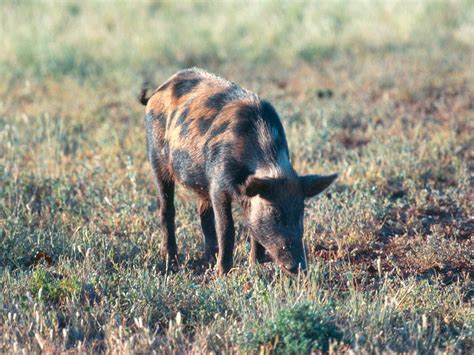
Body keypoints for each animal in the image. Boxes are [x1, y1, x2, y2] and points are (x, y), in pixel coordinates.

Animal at [139, 68, 338, 276]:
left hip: (201, 184)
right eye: (274, 212)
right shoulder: (218, 186)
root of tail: (158, 91)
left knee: (203, 213)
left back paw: (209, 259)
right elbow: (227, 229)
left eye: (301, 212)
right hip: (156, 159)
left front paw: (255, 264)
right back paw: (172, 261)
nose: (299, 266)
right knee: (166, 208)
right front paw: (223, 273)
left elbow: (252, 228)